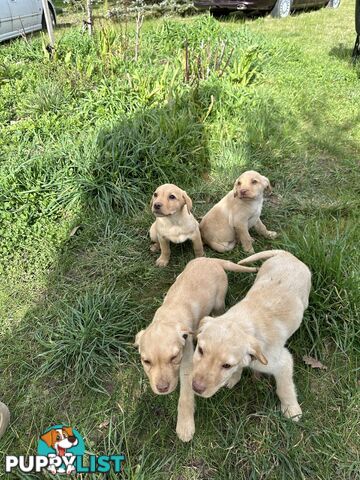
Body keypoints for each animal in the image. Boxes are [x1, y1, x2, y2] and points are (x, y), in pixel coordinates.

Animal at [134, 256, 256, 440]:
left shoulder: (187, 360)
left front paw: (185, 426)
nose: (162, 389)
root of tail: (210, 259)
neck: (168, 317)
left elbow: (185, 395)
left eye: (174, 357)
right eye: (146, 361)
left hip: (219, 299)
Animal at [193, 249, 310, 422]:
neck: (242, 323)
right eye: (200, 350)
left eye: (226, 365)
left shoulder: (283, 362)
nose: (196, 388)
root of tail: (288, 255)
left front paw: (291, 410)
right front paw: (234, 378)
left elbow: (285, 388)